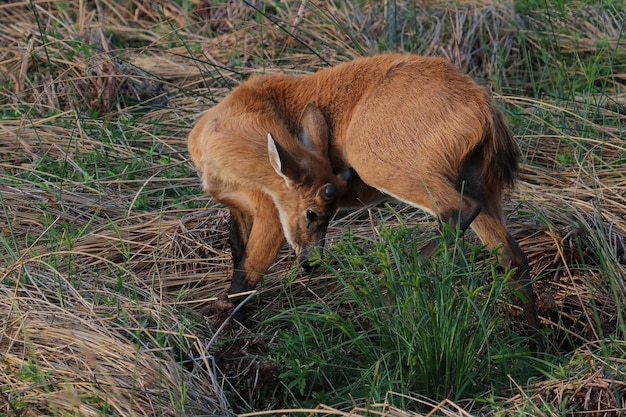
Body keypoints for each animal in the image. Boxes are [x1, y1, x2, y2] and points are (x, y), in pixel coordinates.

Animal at [185, 52, 540, 352]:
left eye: (318, 213)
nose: (312, 263)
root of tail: (483, 105)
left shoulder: (270, 212)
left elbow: (246, 277)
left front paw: (235, 337)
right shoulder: (238, 208)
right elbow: (238, 261)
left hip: (379, 163)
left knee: (460, 211)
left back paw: (398, 282)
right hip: (482, 188)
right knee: (513, 257)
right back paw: (536, 347)